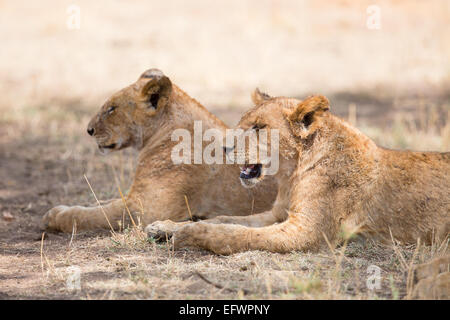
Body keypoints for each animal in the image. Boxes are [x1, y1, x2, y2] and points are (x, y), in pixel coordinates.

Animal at [42, 69, 276, 232]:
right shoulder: (133, 197)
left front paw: (53, 215)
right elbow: (98, 203)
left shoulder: (143, 210)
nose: (89, 130)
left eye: (112, 109)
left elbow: (89, 215)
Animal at [146, 90, 448, 255]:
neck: (291, 174)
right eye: (243, 123)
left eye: (259, 127)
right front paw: (165, 226)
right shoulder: (277, 214)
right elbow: (225, 219)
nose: (224, 146)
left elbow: (237, 234)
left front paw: (187, 234)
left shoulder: (307, 231)